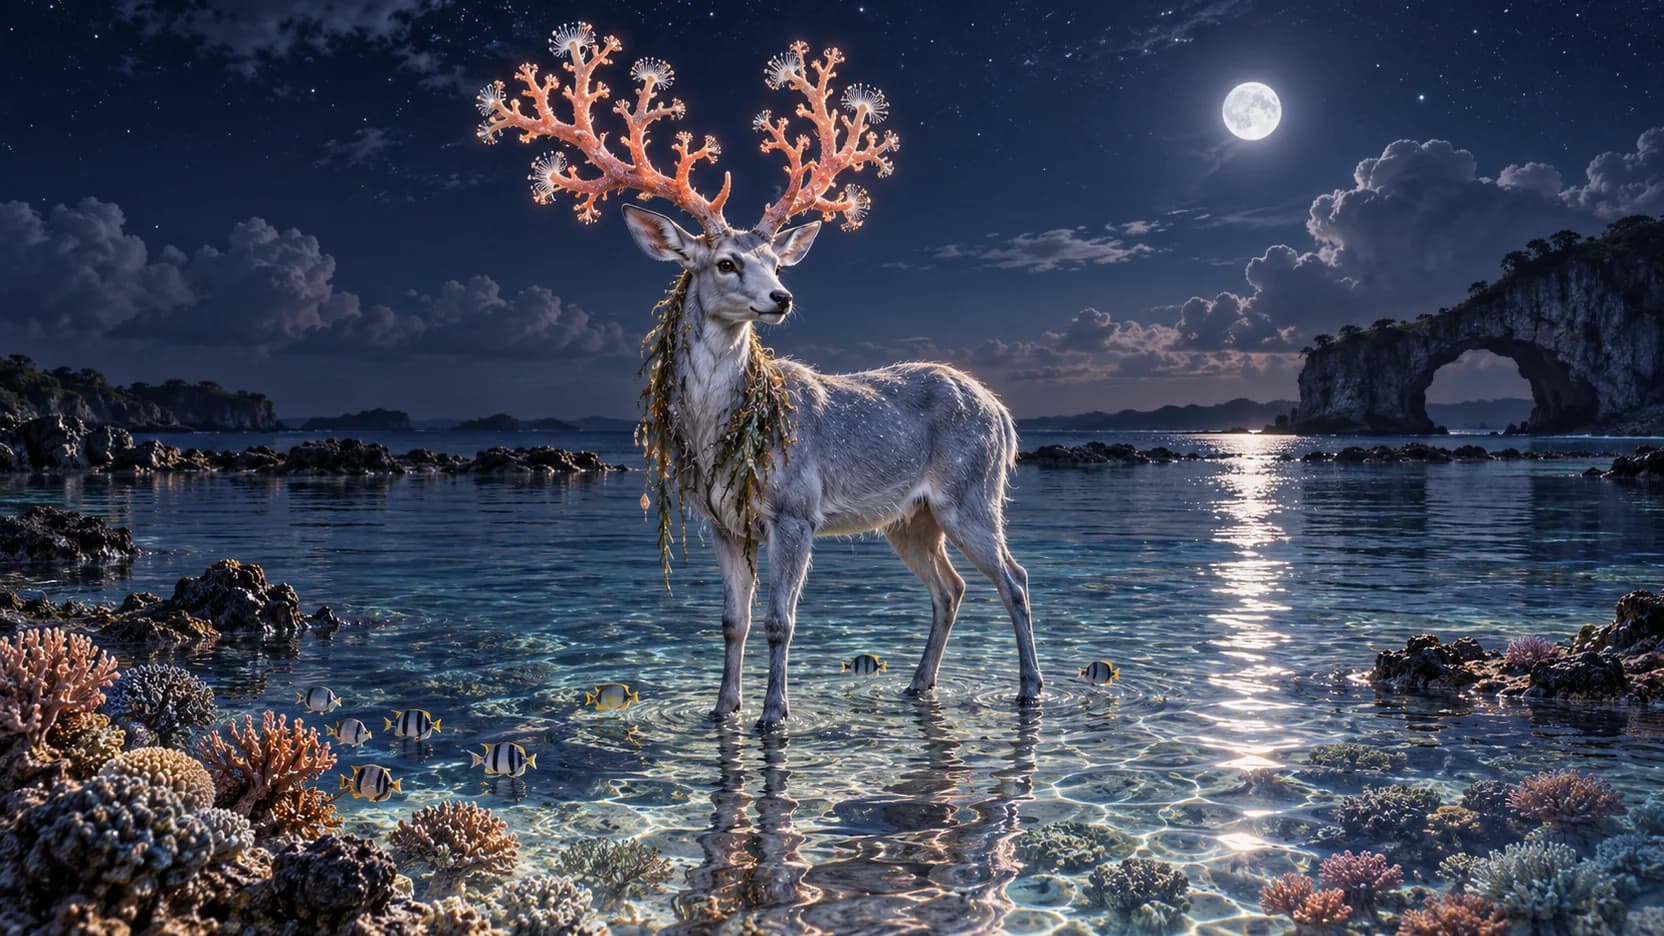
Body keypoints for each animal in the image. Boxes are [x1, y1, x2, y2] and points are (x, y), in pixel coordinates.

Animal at [477, 24, 1041, 729]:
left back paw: (1029, 687)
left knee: (1014, 579)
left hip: (971, 491)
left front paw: (775, 714)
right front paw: (722, 710)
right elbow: (732, 621)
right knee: (952, 587)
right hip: (910, 517)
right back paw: (918, 685)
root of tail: (1003, 413)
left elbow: (780, 621)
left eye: (775, 259)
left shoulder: (795, 510)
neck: (720, 432)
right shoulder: (722, 522)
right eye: (725, 262)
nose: (783, 297)